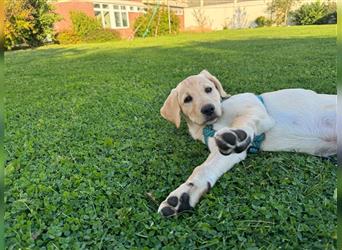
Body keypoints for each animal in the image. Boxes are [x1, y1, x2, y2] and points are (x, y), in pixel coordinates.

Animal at [158, 69, 336, 216]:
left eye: (208, 89)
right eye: (187, 99)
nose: (208, 109)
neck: (212, 124)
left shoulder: (257, 109)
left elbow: (243, 121)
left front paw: (236, 135)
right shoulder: (225, 153)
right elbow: (203, 169)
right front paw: (184, 195)